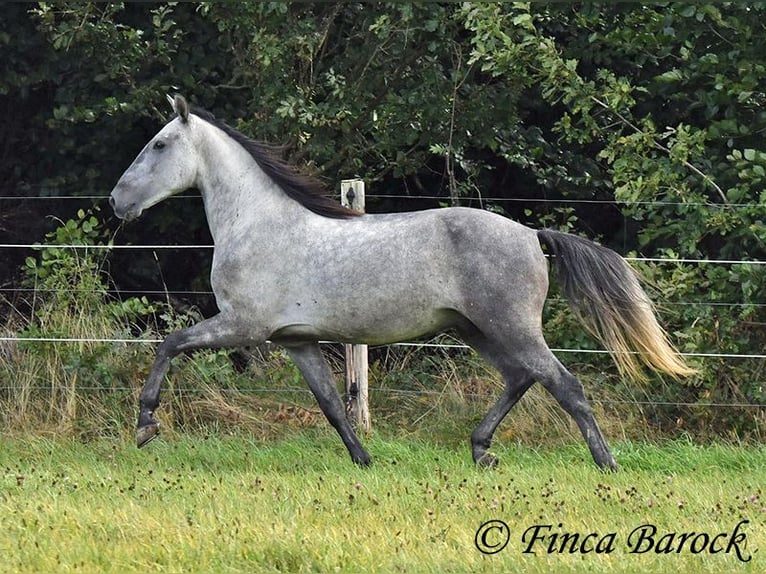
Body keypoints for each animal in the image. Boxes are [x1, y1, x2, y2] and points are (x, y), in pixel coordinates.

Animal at [111, 95, 700, 472]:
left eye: (159, 145)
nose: (118, 201)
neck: (258, 224)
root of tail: (532, 235)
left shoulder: (243, 326)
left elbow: (168, 345)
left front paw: (145, 425)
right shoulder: (296, 341)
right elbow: (331, 403)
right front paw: (364, 461)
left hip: (508, 326)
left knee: (564, 384)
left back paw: (607, 465)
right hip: (475, 330)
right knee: (522, 378)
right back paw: (481, 450)